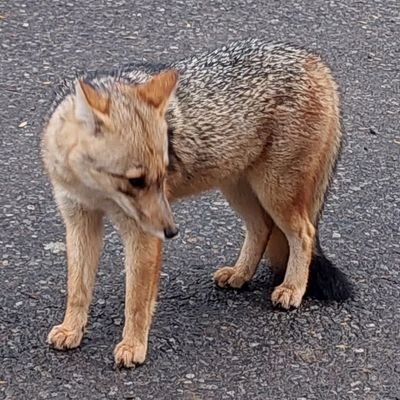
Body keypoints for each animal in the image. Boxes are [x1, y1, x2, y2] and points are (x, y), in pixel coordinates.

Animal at [41, 39, 354, 368]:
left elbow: (137, 299)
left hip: (275, 193)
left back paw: (293, 287)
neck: (94, 190)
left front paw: (133, 345)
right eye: (136, 181)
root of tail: (314, 60)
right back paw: (241, 274)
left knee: (303, 234)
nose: (172, 232)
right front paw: (72, 329)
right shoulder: (79, 220)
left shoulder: (141, 232)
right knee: (262, 228)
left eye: (163, 174)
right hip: (238, 189)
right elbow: (77, 288)